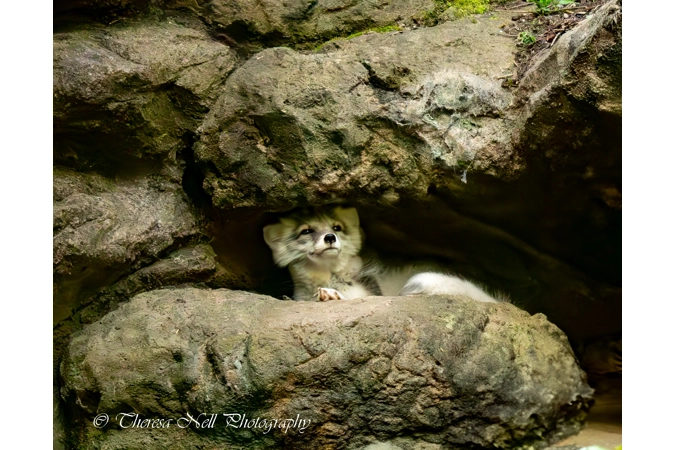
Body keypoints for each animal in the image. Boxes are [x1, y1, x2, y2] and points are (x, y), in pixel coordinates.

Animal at [263, 205, 502, 303]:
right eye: (306, 231)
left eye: (336, 227)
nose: (330, 237)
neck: (328, 278)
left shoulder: (371, 292)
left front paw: (331, 295)